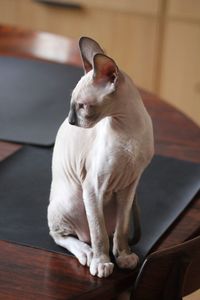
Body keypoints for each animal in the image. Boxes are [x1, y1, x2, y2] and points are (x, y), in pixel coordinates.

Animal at [47, 37, 154, 278]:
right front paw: (102, 262)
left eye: (83, 107)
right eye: (72, 105)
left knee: (110, 231)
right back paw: (86, 253)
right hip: (73, 199)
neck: (128, 128)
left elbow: (121, 230)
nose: (71, 121)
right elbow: (98, 234)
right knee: (64, 235)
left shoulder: (129, 186)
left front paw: (123, 256)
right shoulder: (93, 187)